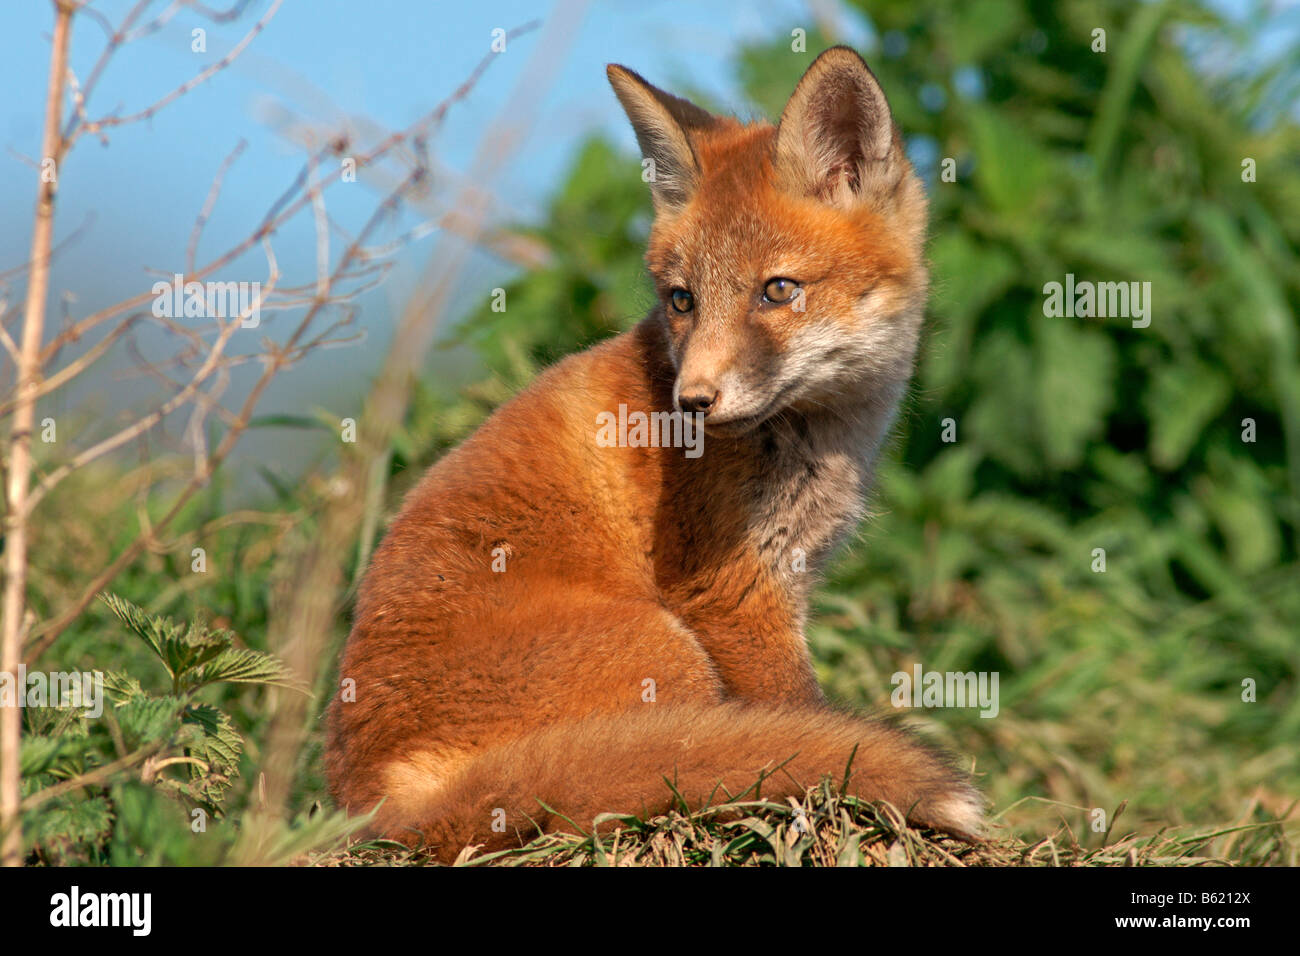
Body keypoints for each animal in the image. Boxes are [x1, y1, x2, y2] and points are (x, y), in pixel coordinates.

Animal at [325, 46, 984, 863]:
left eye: (777, 290)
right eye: (682, 300)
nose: (691, 402)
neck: (818, 437)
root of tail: (386, 812)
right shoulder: (732, 594)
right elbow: (802, 712)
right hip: (668, 652)